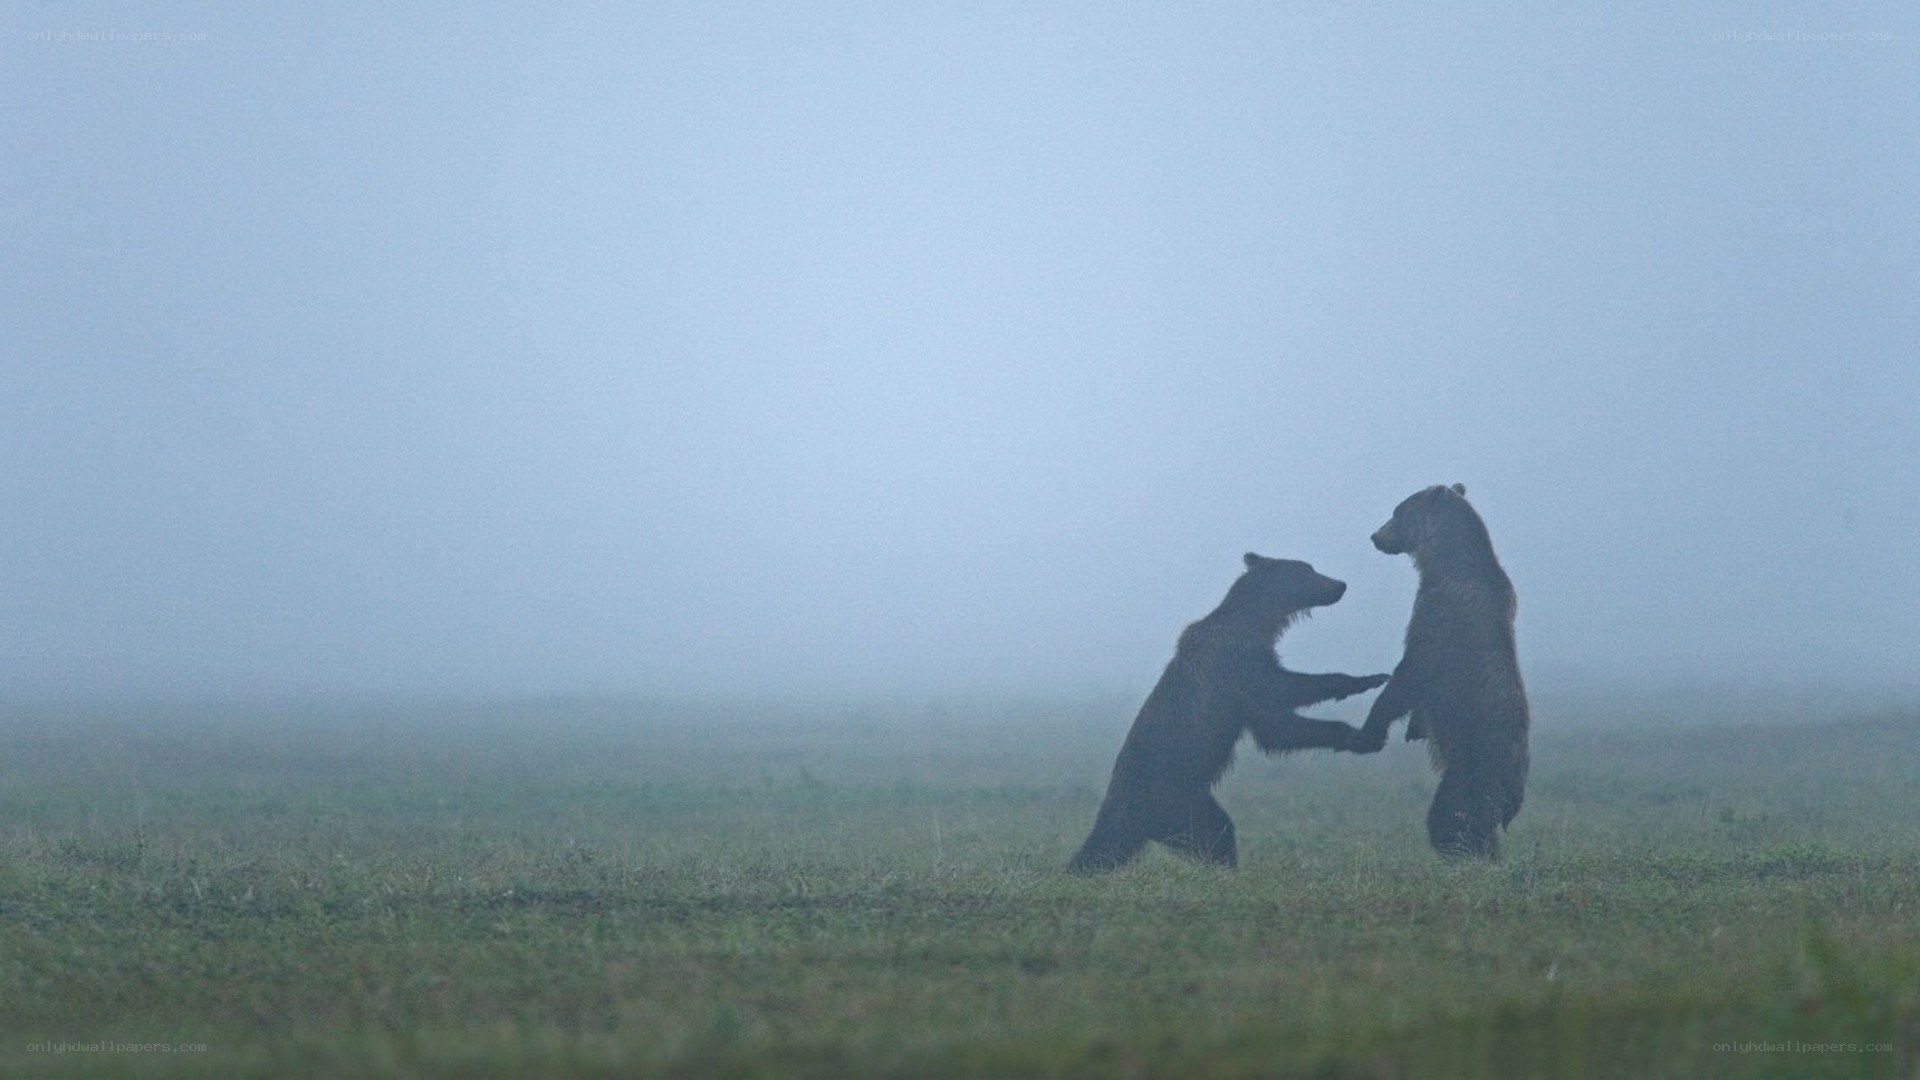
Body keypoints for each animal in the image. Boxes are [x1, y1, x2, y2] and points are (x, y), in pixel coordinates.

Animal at [1068, 553, 1390, 873]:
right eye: (1308, 570)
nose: (1341, 584)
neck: (1257, 623)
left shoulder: (1247, 693)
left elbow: (1277, 729)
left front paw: (1363, 736)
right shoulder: (1237, 665)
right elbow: (1279, 691)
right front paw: (1367, 680)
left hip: (1192, 800)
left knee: (1215, 829)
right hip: (1171, 797)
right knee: (1208, 835)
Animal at [1356, 483, 1530, 859]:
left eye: (1397, 511)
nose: (1376, 536)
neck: (1444, 562)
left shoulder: (1440, 615)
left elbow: (1410, 674)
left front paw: (1371, 729)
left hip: (1474, 764)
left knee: (1452, 817)